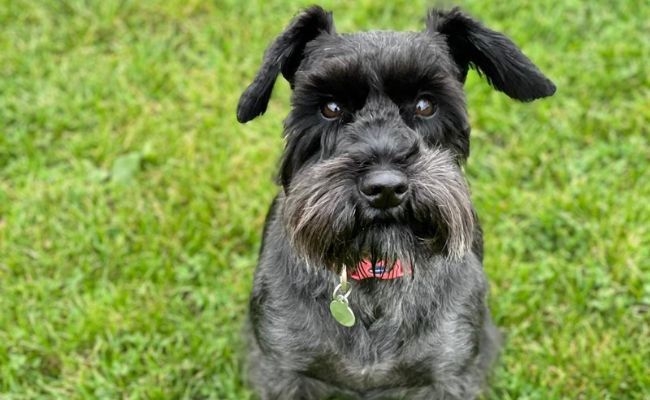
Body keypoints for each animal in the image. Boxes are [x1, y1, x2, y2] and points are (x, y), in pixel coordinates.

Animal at [235, 6, 556, 400]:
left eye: (425, 105)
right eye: (331, 107)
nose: (385, 188)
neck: (374, 274)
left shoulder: (447, 375)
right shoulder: (284, 370)